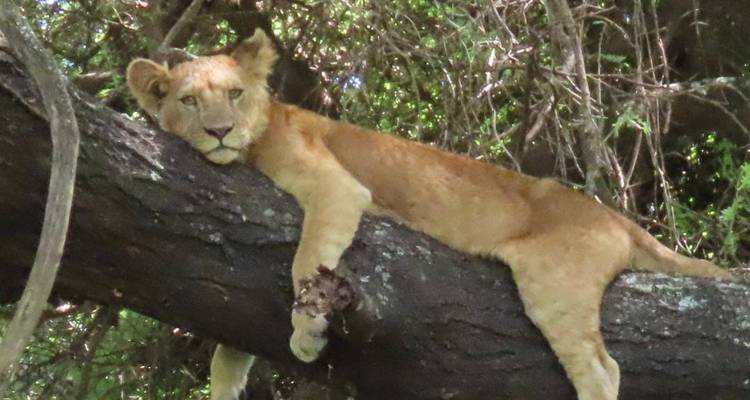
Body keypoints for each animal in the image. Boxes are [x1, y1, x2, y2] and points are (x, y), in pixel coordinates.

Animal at [126, 29, 732, 400]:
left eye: (234, 94)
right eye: (188, 101)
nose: (220, 132)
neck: (263, 132)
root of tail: (616, 218)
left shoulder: (337, 188)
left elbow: (304, 264)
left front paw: (306, 333)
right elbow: (230, 339)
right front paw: (226, 383)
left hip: (555, 281)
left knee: (604, 370)